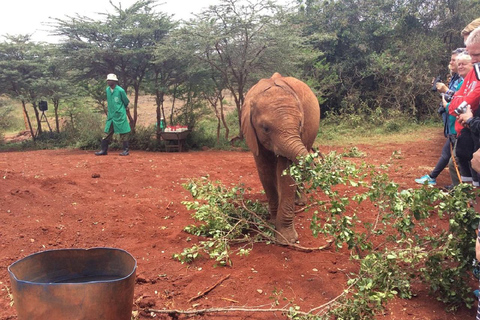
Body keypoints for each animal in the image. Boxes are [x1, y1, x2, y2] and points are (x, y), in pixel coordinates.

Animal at [242, 72, 320, 242]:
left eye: (300, 124)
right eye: (265, 128)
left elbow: (287, 172)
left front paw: (286, 240)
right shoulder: (253, 134)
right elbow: (265, 170)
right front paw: (272, 223)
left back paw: (300, 203)